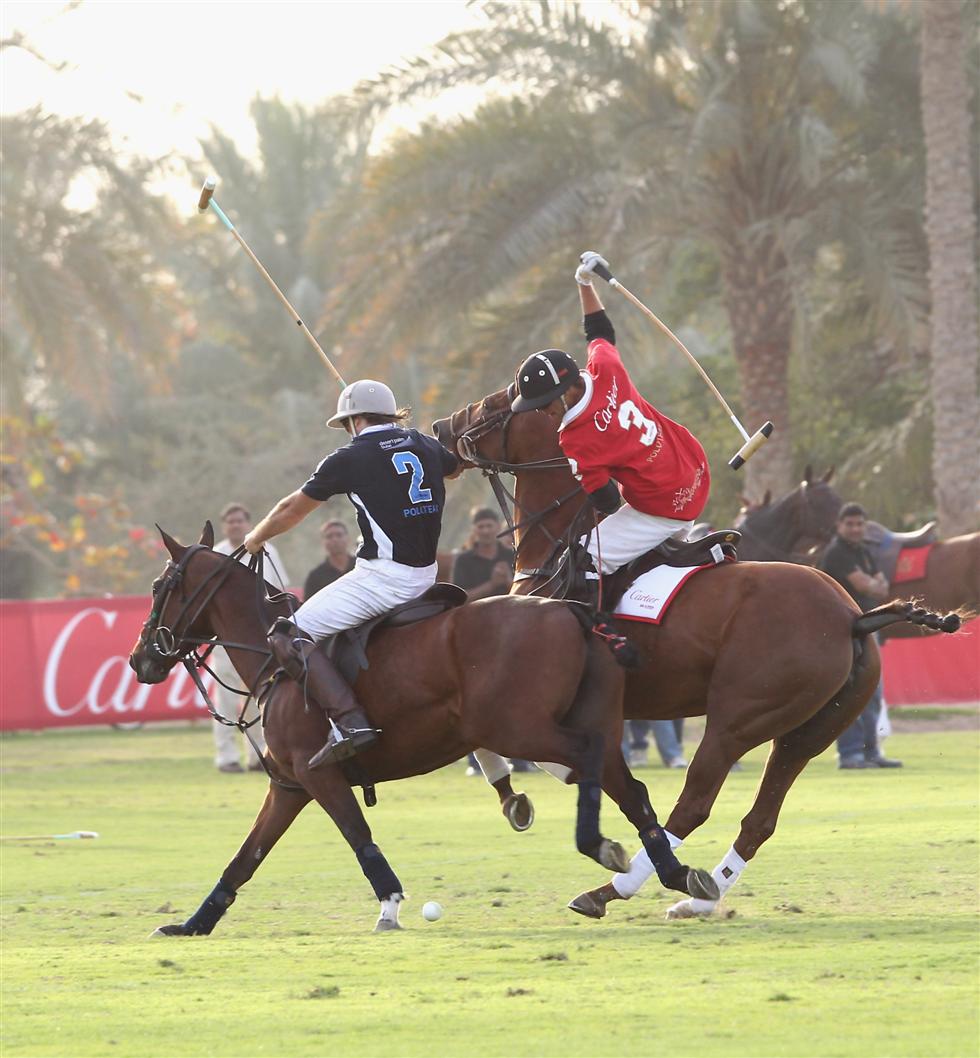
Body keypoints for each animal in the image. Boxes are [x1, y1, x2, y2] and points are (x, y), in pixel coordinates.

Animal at [129, 522, 721, 936]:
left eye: (160, 585)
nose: (140, 661)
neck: (270, 658)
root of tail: (572, 611)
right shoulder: (290, 784)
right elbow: (245, 857)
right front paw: (192, 924)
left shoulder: (319, 776)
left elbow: (358, 836)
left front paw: (390, 907)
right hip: (566, 721)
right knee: (629, 786)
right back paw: (671, 873)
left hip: (522, 727)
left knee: (592, 758)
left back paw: (597, 845)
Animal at [432, 388, 961, 920]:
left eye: (494, 405)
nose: (441, 428)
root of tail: (854, 615)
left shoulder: (542, 701)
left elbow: (571, 762)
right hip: (808, 731)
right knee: (761, 817)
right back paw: (699, 899)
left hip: (737, 718)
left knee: (694, 802)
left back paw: (621, 888)